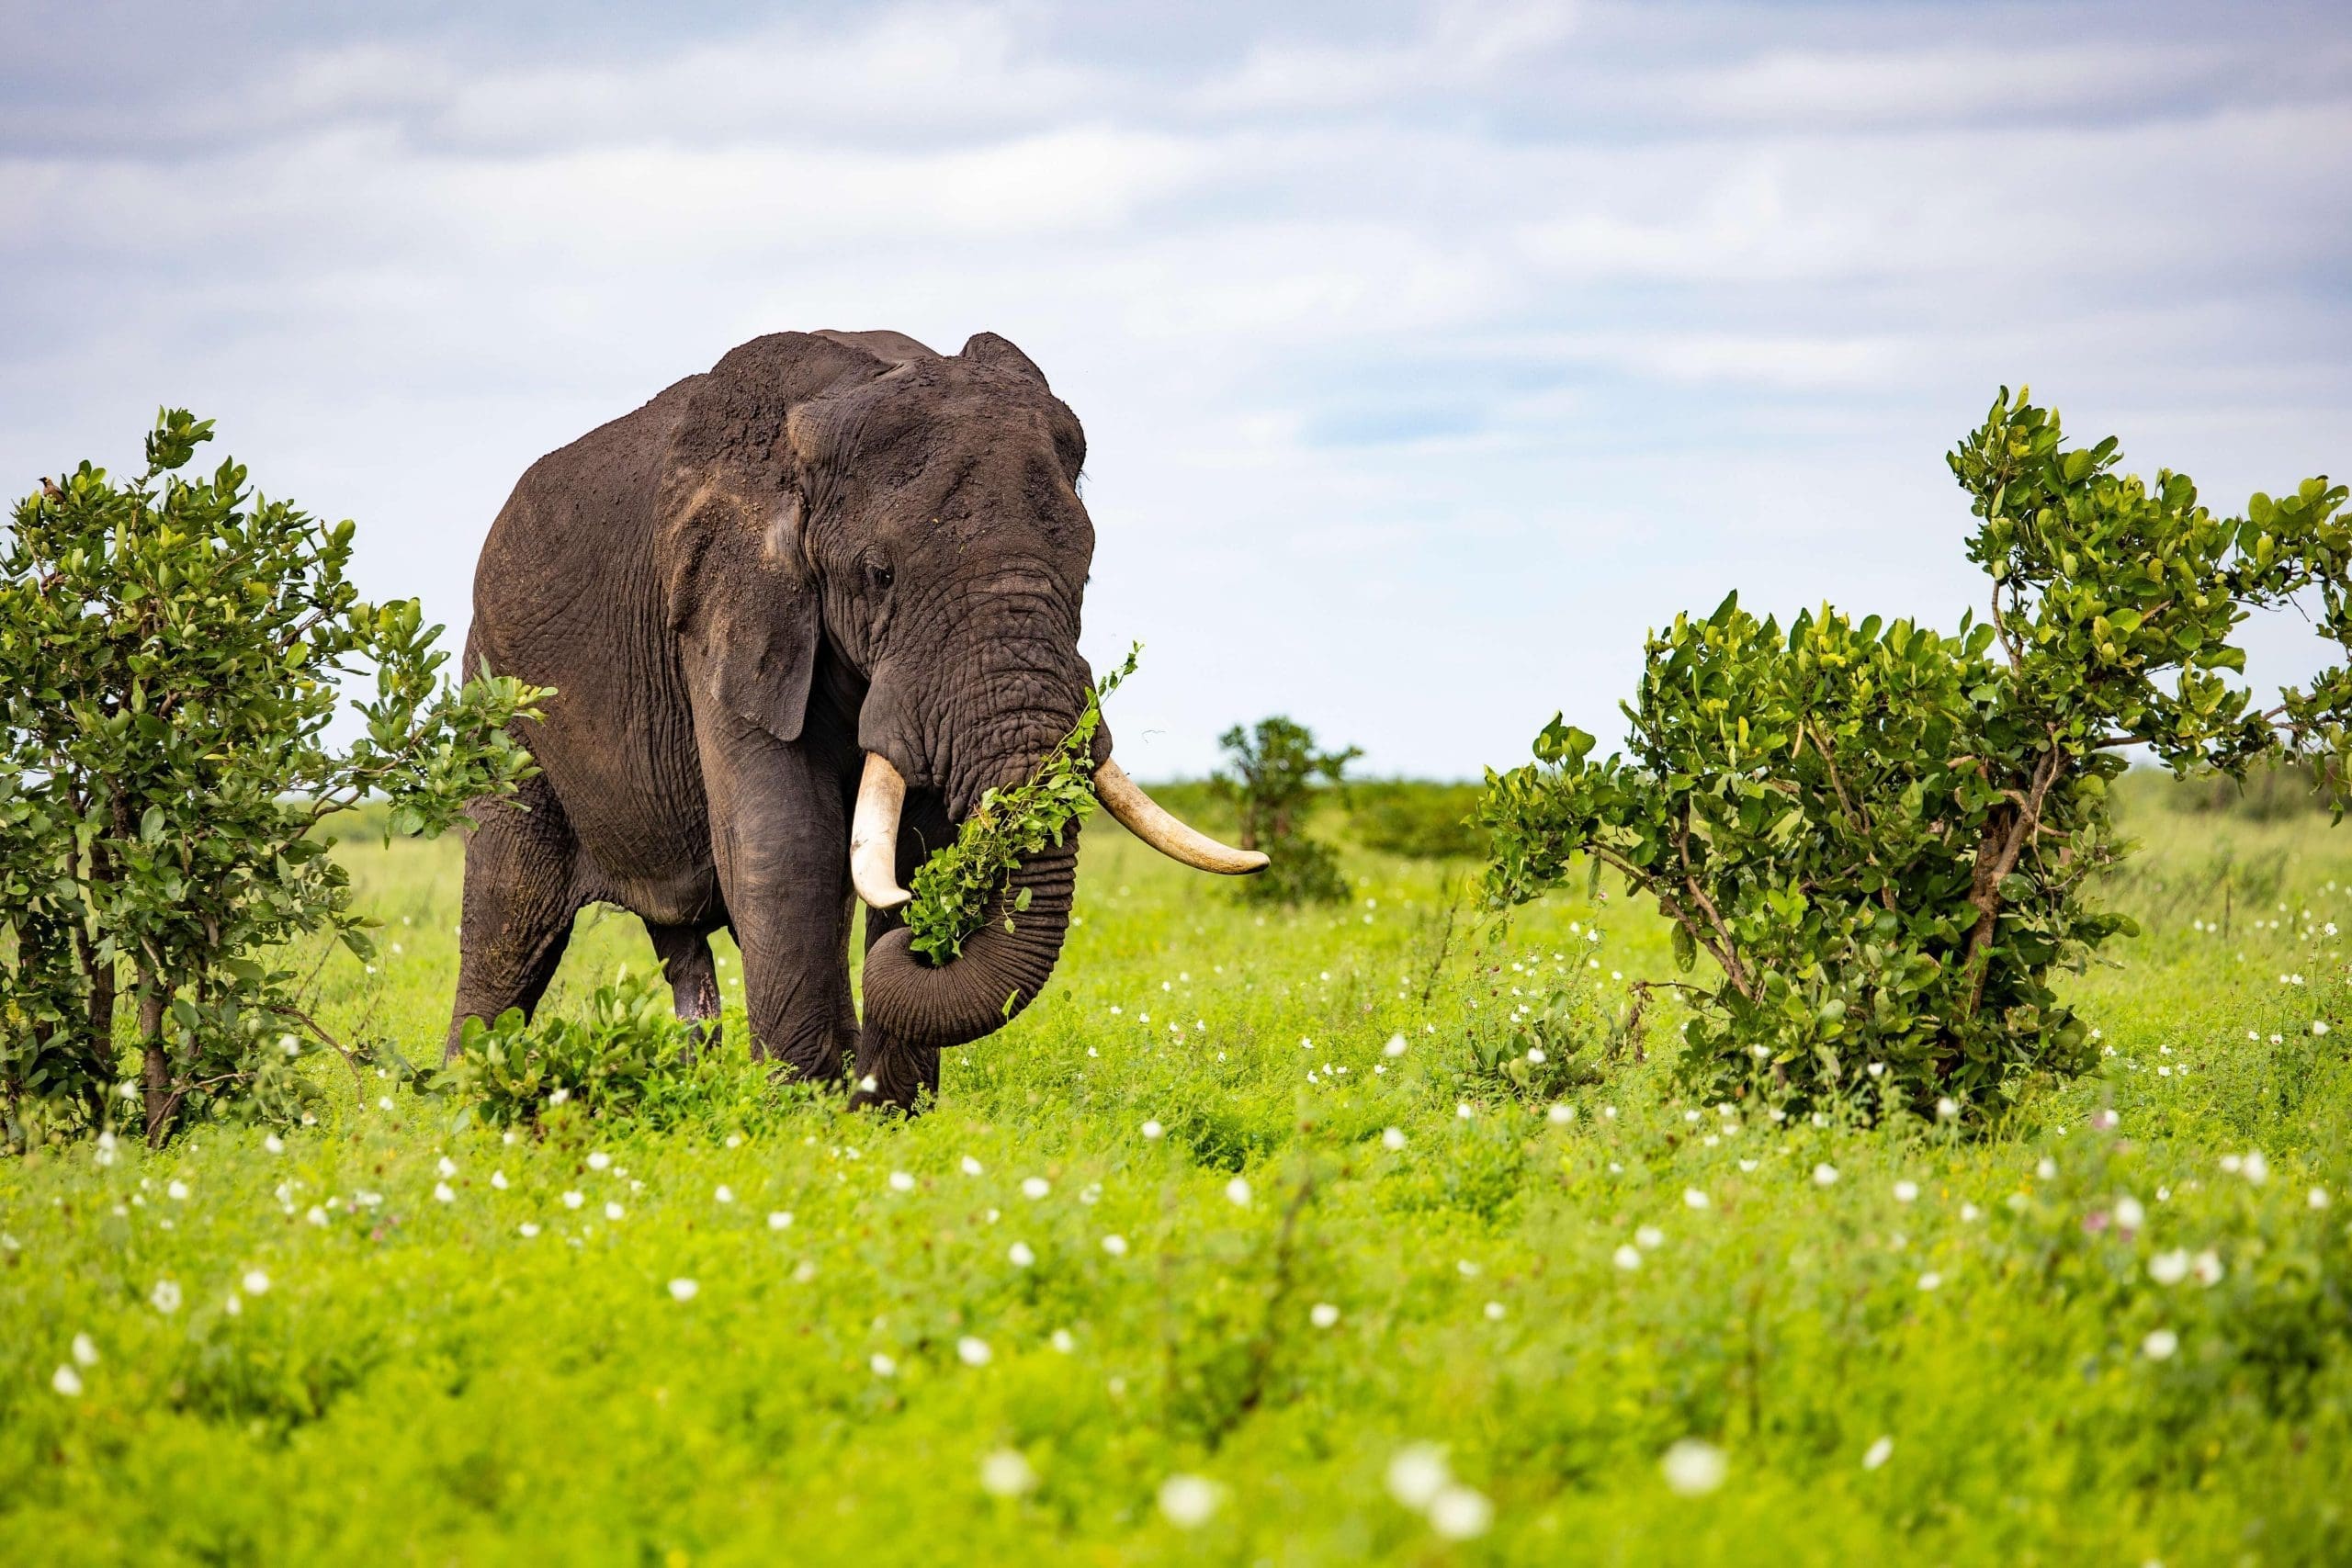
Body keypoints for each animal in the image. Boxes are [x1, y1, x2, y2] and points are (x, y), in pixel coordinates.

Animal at [445, 328, 1264, 1109]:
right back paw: (466, 1094)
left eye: (1086, 575)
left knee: (680, 950)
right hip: (498, 697)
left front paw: (884, 1116)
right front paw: (805, 1116)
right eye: (880, 574)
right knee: (509, 919)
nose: (926, 944)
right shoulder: (724, 615)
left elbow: (914, 842)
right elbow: (787, 847)